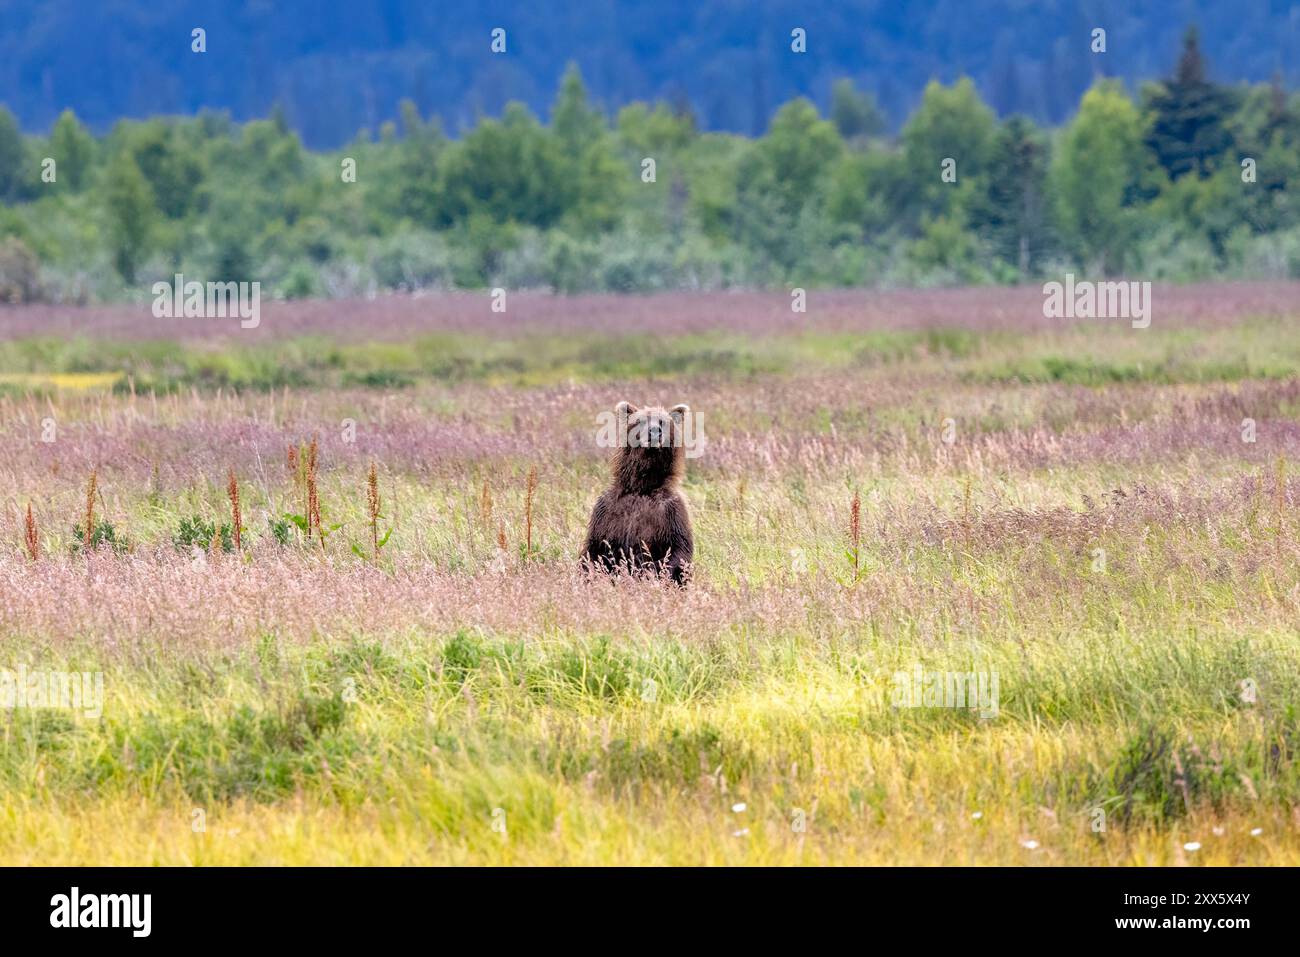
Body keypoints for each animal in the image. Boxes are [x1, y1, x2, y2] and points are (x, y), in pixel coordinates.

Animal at [582, 401, 694, 585]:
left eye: (663, 421)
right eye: (640, 421)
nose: (654, 431)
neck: (642, 487)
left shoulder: (671, 511)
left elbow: (679, 548)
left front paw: (659, 576)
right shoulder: (606, 510)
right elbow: (594, 549)